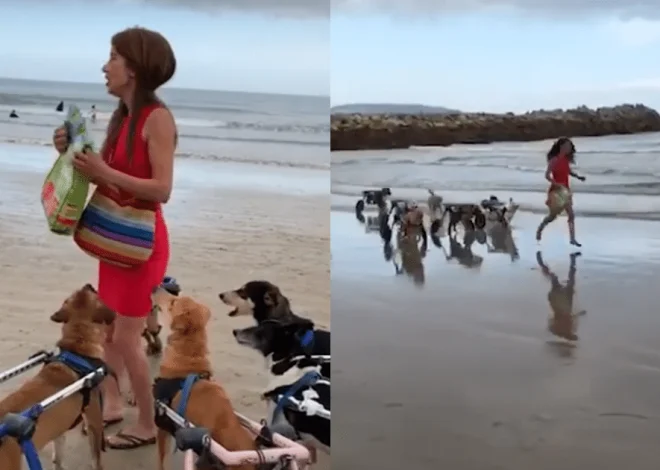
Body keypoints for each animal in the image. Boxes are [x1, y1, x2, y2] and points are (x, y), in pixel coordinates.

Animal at [0, 282, 114, 470]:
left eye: (76, 293)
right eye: (92, 293)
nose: (88, 284)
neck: (77, 348)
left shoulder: (59, 432)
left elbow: (58, 458)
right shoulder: (94, 421)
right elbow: (96, 458)